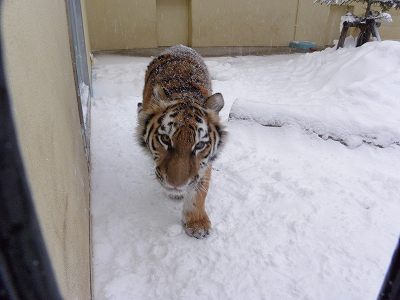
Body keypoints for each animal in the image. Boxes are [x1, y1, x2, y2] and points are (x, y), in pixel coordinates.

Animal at [137, 45, 225, 239]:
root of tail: (179, 46)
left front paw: (197, 224)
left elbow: (199, 190)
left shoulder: (204, 162)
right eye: (165, 139)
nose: (176, 185)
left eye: (199, 145)